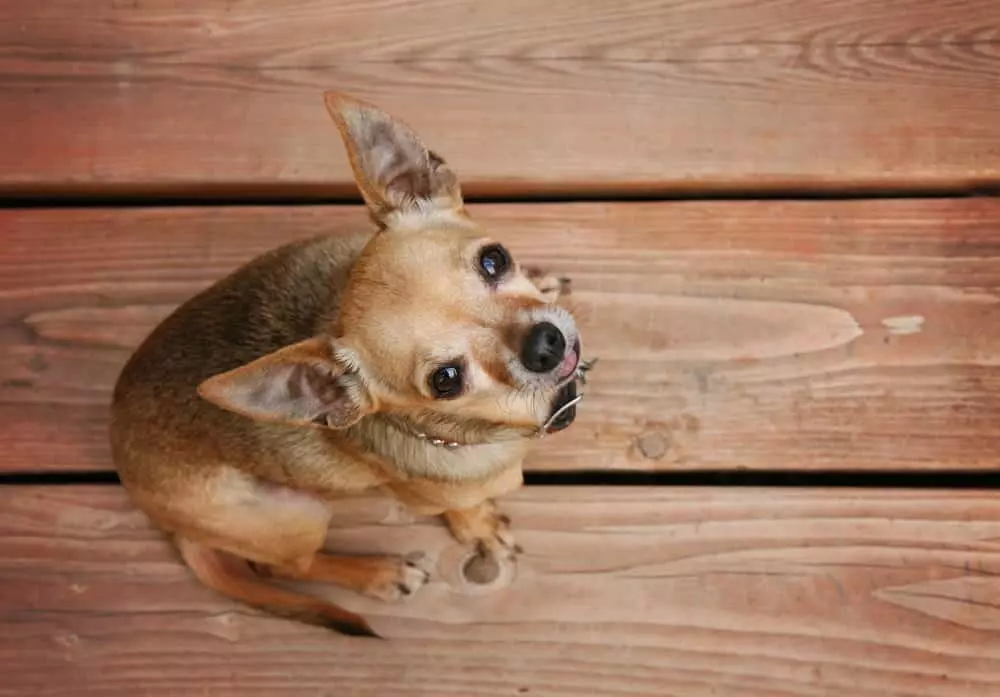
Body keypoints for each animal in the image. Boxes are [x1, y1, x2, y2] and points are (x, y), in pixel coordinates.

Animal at [109, 92, 588, 636]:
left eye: (495, 260)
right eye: (446, 380)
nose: (545, 344)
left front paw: (541, 281)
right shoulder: (435, 495)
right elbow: (462, 507)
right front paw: (478, 525)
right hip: (294, 514)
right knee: (285, 567)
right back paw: (377, 573)